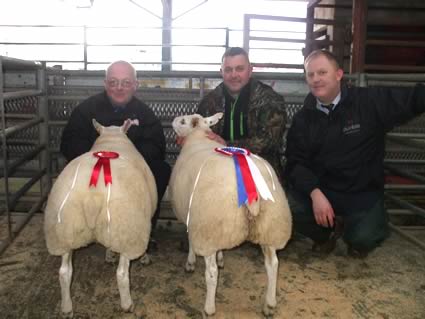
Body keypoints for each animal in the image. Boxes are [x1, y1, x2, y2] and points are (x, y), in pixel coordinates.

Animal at [44, 119, 157, 318]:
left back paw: (66, 307)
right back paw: (127, 304)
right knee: (122, 274)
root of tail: (92, 195)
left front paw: (109, 253)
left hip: (65, 230)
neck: (112, 139)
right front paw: (143, 257)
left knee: (64, 272)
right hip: (127, 228)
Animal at [168, 112, 292, 318]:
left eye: (183, 121)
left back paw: (209, 308)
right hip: (270, 226)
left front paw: (191, 262)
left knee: (211, 274)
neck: (198, 136)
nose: (172, 121)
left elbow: (191, 242)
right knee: (273, 265)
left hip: (210, 228)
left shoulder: (194, 219)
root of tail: (252, 192)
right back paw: (270, 304)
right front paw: (221, 258)